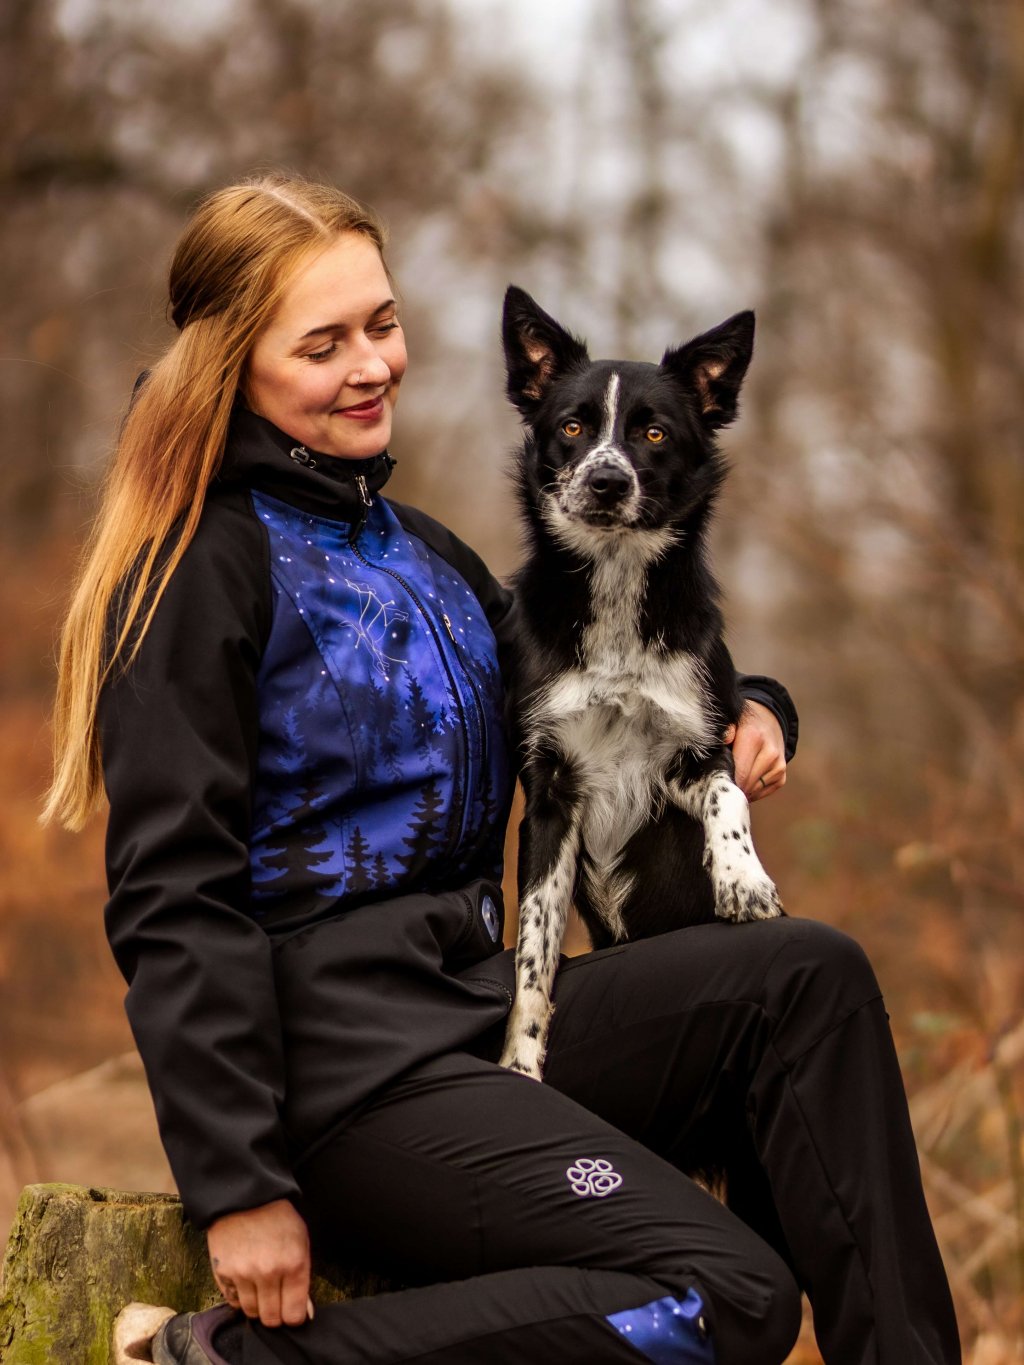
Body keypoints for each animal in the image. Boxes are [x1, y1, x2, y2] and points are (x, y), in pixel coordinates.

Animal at [499, 285, 786, 1075]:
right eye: (571, 427)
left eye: (654, 434)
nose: (605, 480)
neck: (619, 586)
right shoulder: (551, 793)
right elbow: (533, 951)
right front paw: (520, 1062)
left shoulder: (696, 750)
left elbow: (727, 796)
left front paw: (742, 878)